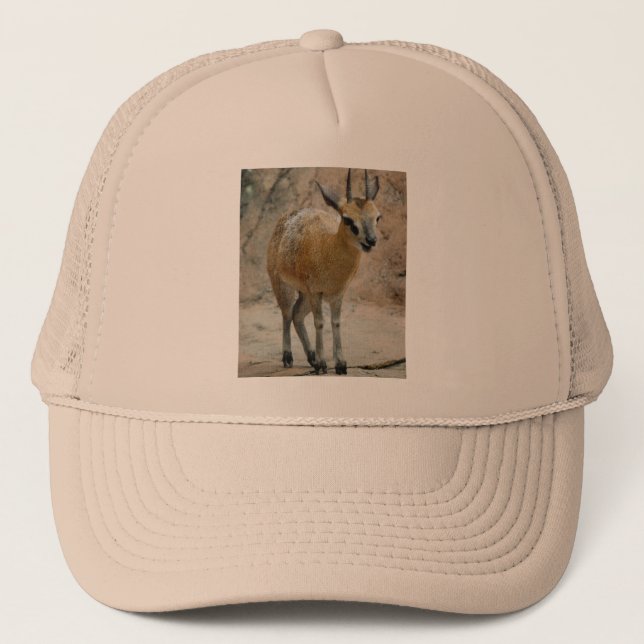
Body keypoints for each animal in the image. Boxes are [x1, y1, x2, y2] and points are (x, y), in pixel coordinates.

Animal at [266, 169, 381, 374]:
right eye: (347, 218)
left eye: (377, 216)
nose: (371, 240)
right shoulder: (316, 292)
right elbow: (319, 322)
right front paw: (323, 364)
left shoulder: (337, 293)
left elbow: (336, 322)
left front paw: (340, 364)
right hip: (283, 286)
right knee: (287, 314)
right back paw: (289, 358)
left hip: (303, 293)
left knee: (296, 314)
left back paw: (311, 358)